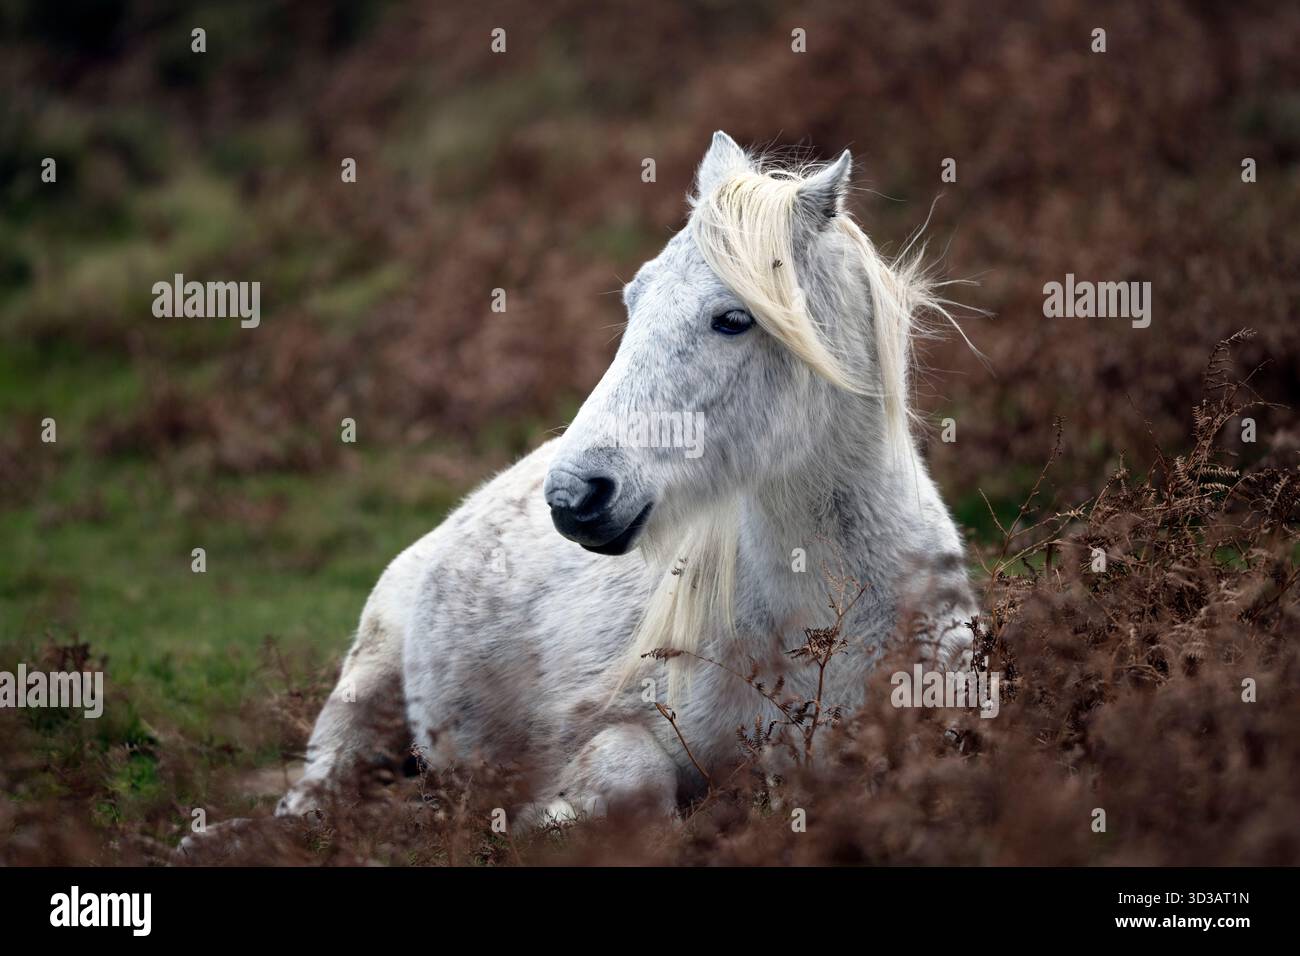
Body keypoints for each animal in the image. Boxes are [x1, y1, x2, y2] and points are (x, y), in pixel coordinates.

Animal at [276, 131, 977, 824]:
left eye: (734, 318)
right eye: (634, 300)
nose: (573, 497)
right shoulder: (606, 726)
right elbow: (631, 775)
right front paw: (541, 815)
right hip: (366, 683)